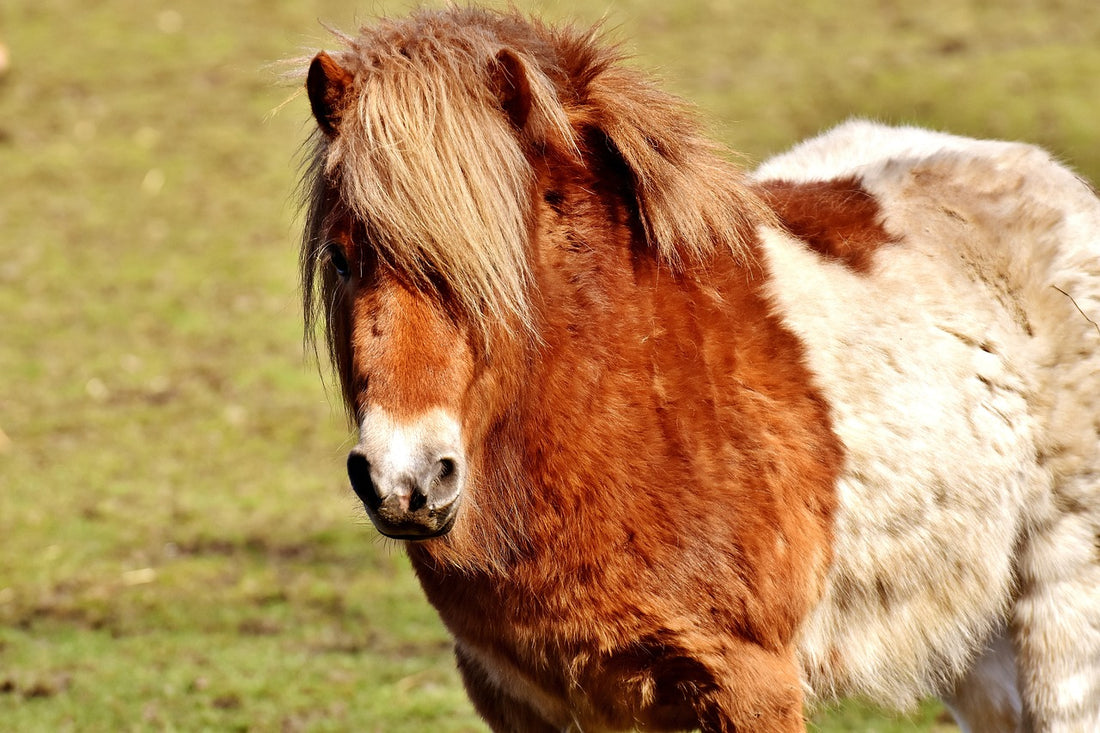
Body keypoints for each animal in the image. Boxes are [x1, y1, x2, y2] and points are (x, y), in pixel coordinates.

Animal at [297, 7, 1100, 732]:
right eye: (340, 258)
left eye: (499, 265)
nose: (405, 479)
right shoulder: (529, 700)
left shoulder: (749, 684)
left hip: (1062, 610)